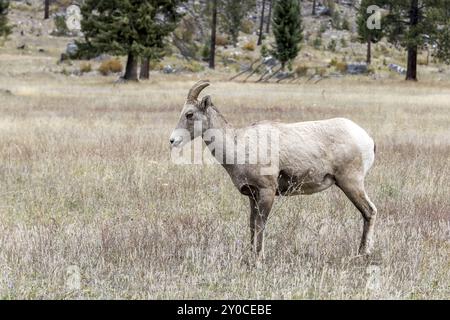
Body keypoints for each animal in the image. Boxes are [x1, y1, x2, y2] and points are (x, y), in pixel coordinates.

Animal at [171, 80, 378, 258]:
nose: (173, 140)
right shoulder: (253, 196)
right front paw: (250, 256)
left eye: (189, 114)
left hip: (351, 184)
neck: (239, 145)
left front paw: (259, 258)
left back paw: (362, 253)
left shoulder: (267, 192)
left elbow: (261, 225)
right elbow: (252, 225)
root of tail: (367, 138)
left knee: (369, 211)